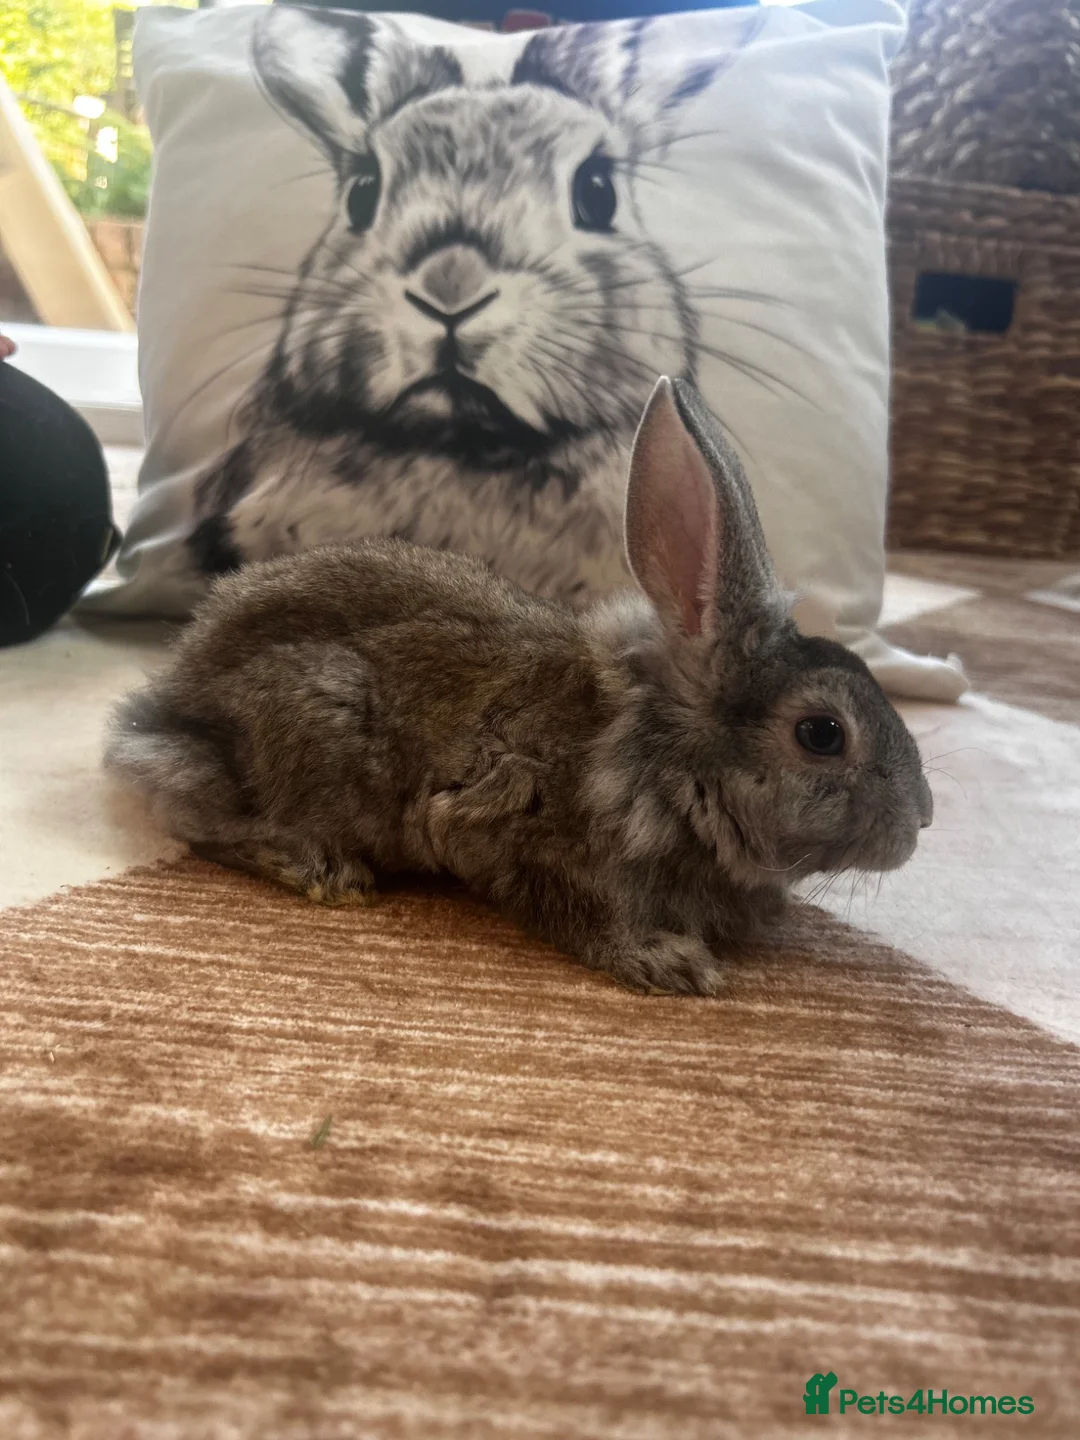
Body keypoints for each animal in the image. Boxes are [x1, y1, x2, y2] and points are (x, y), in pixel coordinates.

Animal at [109, 377, 933, 995]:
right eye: (821, 734)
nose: (921, 819)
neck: (666, 754)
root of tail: (158, 711)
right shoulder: (513, 828)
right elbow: (578, 913)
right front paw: (668, 963)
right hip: (314, 724)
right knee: (202, 822)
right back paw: (322, 869)